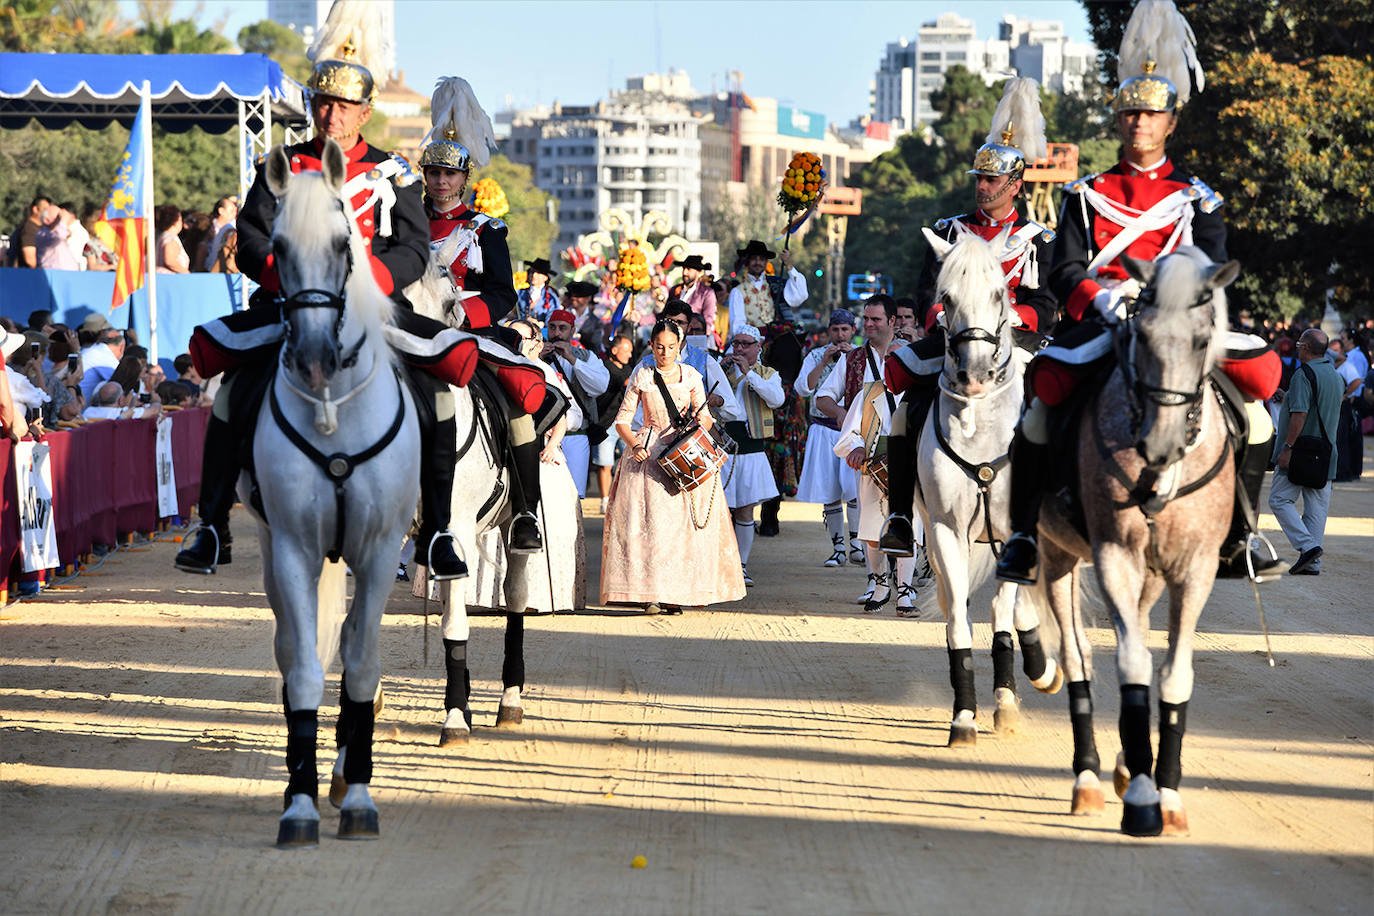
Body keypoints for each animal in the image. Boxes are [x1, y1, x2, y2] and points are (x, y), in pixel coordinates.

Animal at [917, 225, 1066, 747]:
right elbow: (959, 621)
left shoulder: (1014, 529)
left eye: (1001, 293)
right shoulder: (945, 530)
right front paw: (964, 715)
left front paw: (1005, 701)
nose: (976, 374)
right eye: (945, 296)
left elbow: (1003, 614)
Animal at [1033, 247, 1247, 834]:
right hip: (1058, 554)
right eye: (1141, 333)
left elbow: (1172, 674)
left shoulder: (1194, 569)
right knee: (1078, 658)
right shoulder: (1114, 556)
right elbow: (1130, 665)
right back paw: (1088, 778)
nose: (1160, 445)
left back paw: (1129, 765)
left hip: (1150, 576)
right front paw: (1144, 799)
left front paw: (1166, 791)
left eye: (1202, 338)